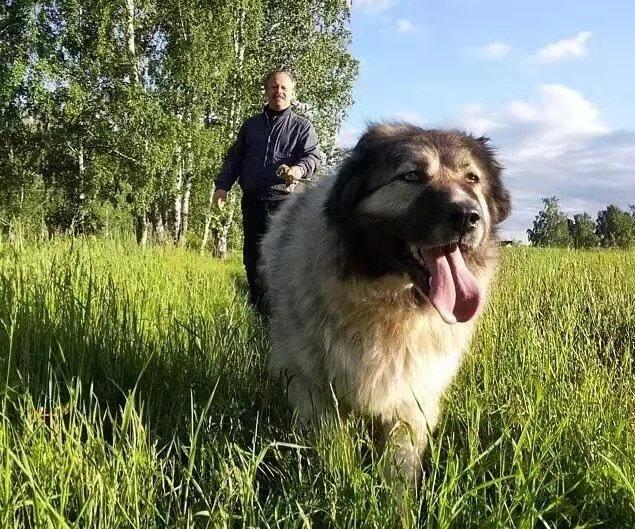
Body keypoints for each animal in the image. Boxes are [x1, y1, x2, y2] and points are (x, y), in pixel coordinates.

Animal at [258, 124, 512, 478]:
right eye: (412, 176)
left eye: (472, 178)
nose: (468, 216)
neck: (391, 302)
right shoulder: (318, 391)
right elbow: (334, 450)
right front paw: (343, 484)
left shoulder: (411, 398)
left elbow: (400, 466)